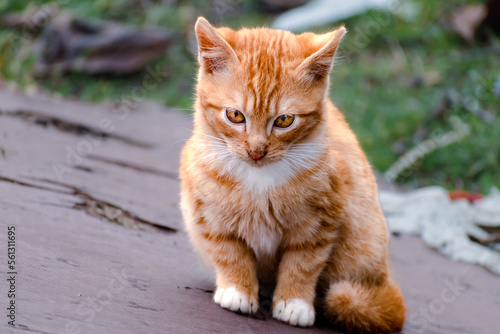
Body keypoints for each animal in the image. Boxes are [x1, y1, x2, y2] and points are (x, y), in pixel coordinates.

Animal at [180, 17, 406, 332]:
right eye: (235, 115)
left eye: (284, 120)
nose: (256, 151)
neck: (259, 180)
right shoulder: (209, 215)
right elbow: (229, 253)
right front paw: (237, 289)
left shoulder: (319, 224)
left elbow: (302, 265)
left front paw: (294, 302)